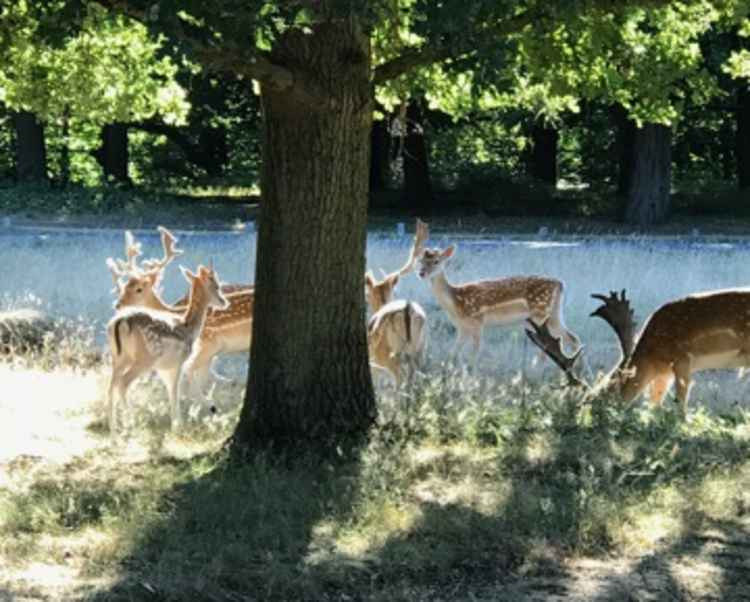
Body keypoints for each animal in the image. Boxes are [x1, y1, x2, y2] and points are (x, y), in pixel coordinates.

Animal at [106, 225, 256, 394]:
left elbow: (193, 376)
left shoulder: (208, 344)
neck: (178, 311)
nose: (117, 305)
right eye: (125, 286)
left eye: (139, 289)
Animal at [106, 264, 229, 432]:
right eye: (216, 285)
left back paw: (114, 430)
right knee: (123, 383)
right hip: (144, 359)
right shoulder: (178, 361)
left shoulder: (162, 367)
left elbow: (170, 391)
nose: (224, 302)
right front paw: (177, 426)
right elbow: (175, 392)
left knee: (111, 387)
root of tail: (120, 322)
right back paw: (132, 422)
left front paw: (176, 423)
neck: (189, 329)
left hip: (118, 358)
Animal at [368, 219, 432, 384]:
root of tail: (407, 309)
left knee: (400, 377)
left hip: (387, 352)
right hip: (420, 347)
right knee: (416, 375)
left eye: (367, 295)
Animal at [418, 230, 580, 368]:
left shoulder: (477, 321)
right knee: (572, 338)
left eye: (437, 261)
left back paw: (536, 369)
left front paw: (471, 371)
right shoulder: (462, 327)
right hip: (554, 314)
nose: (421, 273)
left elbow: (475, 352)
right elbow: (452, 353)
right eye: (421, 260)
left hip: (540, 313)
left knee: (549, 344)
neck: (456, 302)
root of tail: (560, 284)